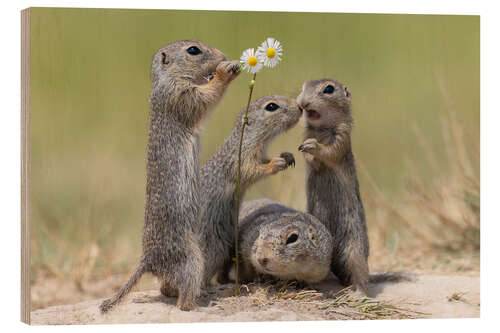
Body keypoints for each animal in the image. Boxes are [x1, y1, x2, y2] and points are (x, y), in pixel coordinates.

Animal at [99, 39, 240, 312]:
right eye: (193, 50)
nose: (224, 56)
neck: (167, 79)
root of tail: (148, 259)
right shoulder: (180, 95)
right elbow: (204, 98)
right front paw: (225, 71)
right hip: (191, 257)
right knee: (183, 296)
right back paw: (197, 304)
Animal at [198, 94, 300, 284]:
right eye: (271, 106)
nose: (300, 107)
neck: (249, 139)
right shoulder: (242, 159)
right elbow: (252, 170)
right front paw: (275, 163)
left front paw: (287, 156)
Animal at [296, 78, 372, 294]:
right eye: (303, 87)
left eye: (329, 89)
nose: (302, 102)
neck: (320, 129)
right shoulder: (306, 132)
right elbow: (309, 159)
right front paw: (306, 151)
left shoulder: (342, 137)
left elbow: (330, 152)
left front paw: (314, 147)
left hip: (354, 249)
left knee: (361, 274)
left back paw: (358, 293)